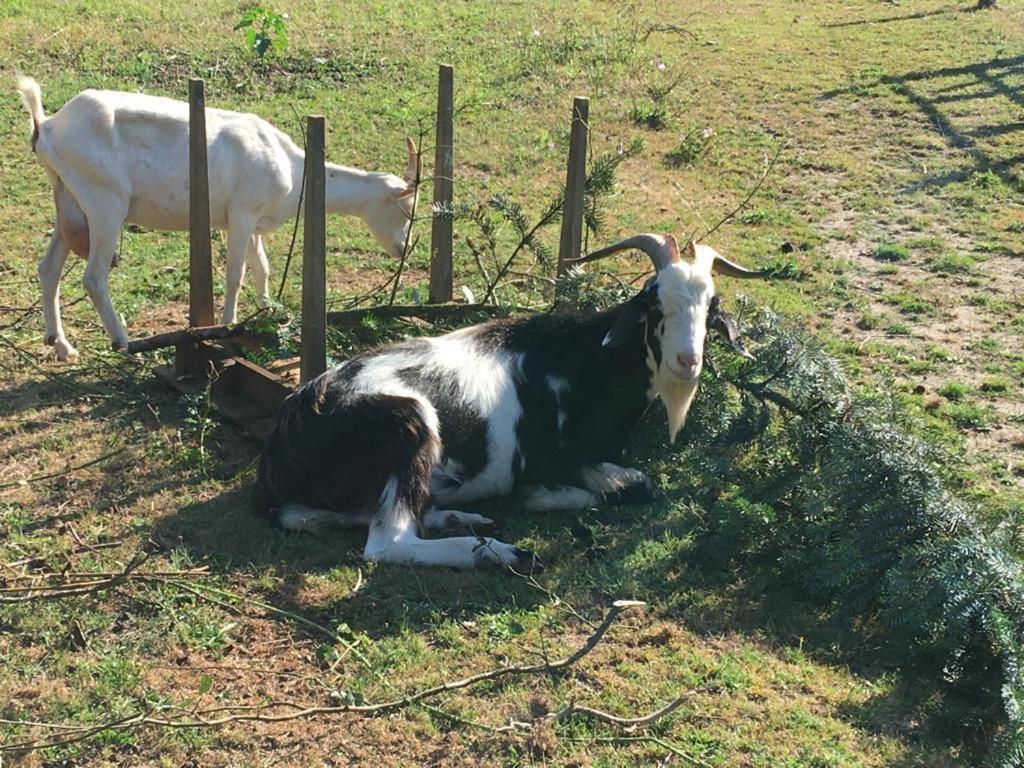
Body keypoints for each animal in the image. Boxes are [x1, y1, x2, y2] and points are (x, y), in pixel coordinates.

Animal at [17, 76, 415, 360]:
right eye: (405, 208)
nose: (405, 249)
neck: (290, 165)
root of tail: (47, 125)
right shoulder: (241, 215)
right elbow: (236, 273)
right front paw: (227, 326)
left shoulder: (251, 222)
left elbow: (262, 267)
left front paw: (270, 312)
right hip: (105, 203)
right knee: (94, 277)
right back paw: (124, 341)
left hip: (68, 200)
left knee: (48, 268)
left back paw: (61, 345)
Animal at [253, 234, 770, 573]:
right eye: (655, 304)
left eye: (711, 309)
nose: (688, 361)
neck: (580, 361)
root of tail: (286, 436)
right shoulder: (555, 461)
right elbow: (631, 486)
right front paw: (540, 499)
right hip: (410, 422)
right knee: (389, 544)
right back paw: (502, 552)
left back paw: (459, 516)